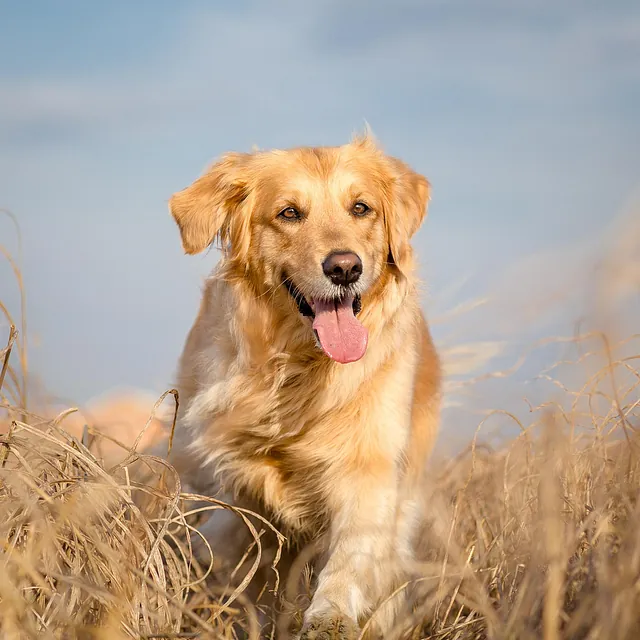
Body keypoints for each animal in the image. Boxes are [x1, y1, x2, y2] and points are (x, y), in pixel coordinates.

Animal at [164, 132, 440, 636]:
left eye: (361, 208)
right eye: (289, 213)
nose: (345, 268)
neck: (299, 368)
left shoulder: (370, 466)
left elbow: (352, 552)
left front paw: (330, 615)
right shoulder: (231, 476)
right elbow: (233, 551)